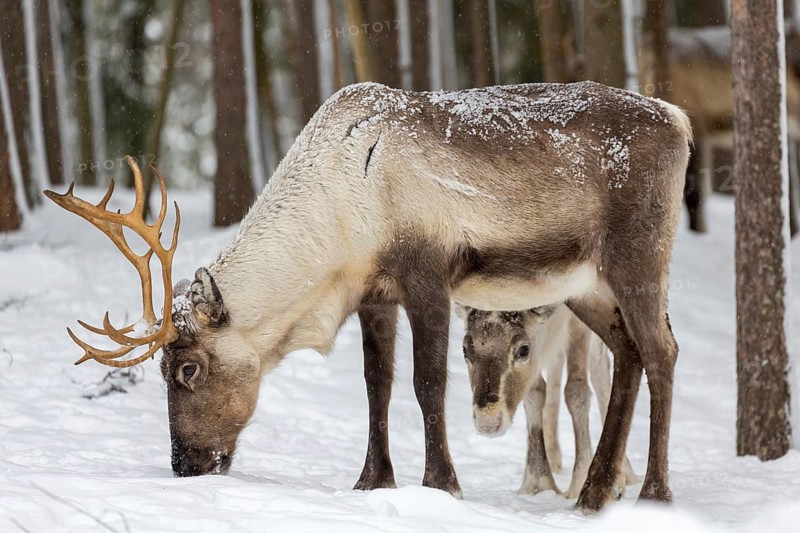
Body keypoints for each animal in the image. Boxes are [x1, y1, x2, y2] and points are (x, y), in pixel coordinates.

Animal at [457, 304, 636, 499]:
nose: (488, 421)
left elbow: (576, 390)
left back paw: (625, 474)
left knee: (600, 367)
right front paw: (536, 485)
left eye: (523, 349)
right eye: (465, 349)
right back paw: (554, 457)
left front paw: (579, 483)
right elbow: (536, 392)